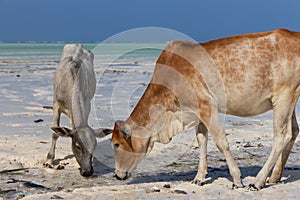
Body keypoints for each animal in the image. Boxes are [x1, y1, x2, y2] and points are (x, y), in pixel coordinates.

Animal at [111, 28, 300, 190]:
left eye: (116, 144)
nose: (117, 175)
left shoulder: (207, 106)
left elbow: (221, 142)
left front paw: (237, 179)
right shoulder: (198, 113)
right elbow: (202, 141)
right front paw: (199, 177)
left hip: (283, 97)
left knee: (282, 136)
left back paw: (258, 181)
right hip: (290, 99)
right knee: (293, 132)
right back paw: (274, 177)